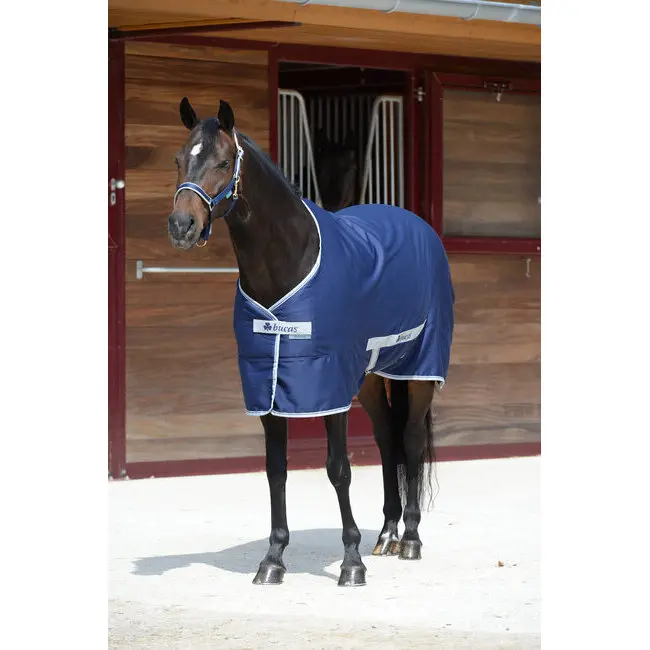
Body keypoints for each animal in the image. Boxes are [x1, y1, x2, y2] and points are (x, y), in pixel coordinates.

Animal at [168, 97, 455, 587]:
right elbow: (276, 471)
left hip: (417, 370)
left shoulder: (327, 384)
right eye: (179, 159)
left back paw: (411, 539)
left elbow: (338, 469)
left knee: (412, 439)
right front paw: (273, 559)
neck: (289, 262)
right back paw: (387, 534)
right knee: (387, 439)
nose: (182, 224)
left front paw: (351, 562)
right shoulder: (267, 384)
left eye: (223, 162)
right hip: (370, 377)